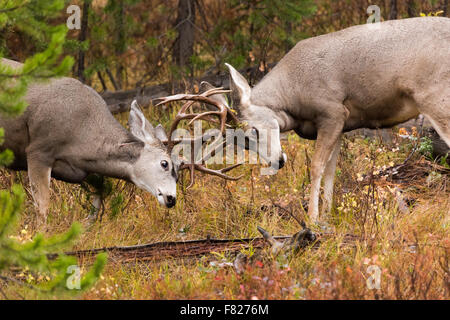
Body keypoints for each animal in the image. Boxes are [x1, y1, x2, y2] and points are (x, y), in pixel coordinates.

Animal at [220, 16, 448, 222]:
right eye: (244, 144)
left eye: (253, 131)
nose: (278, 162)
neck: (292, 94)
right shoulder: (341, 125)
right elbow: (331, 170)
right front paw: (328, 216)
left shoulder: (332, 112)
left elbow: (316, 167)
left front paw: (312, 219)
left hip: (436, 99)